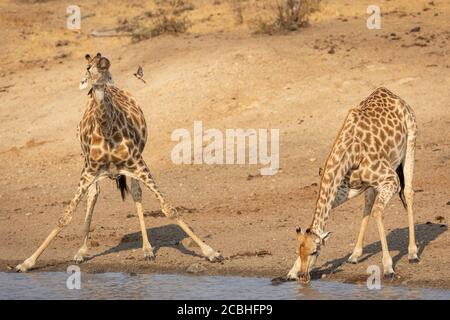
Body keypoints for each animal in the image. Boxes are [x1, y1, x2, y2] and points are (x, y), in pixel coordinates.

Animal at [14, 53, 222, 272]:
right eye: (88, 67)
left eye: (103, 64)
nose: (101, 59)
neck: (107, 130)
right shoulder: (88, 170)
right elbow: (65, 216)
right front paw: (27, 262)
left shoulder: (138, 164)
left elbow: (169, 208)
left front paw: (211, 252)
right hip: (87, 163)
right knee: (94, 195)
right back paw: (81, 251)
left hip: (135, 163)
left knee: (136, 193)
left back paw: (147, 249)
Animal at [284, 87, 418, 282]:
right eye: (298, 251)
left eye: (315, 252)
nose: (303, 276)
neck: (349, 154)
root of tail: (393, 94)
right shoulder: (344, 190)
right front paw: (291, 271)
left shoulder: (391, 179)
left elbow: (378, 212)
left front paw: (388, 268)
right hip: (371, 184)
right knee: (369, 202)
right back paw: (354, 255)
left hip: (410, 142)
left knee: (408, 192)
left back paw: (413, 253)